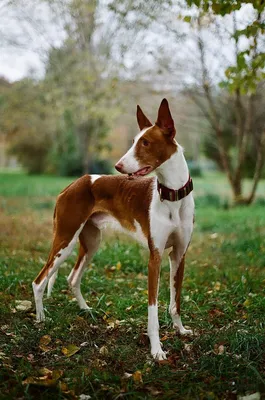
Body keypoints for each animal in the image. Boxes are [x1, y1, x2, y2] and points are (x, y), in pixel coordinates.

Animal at [33, 98, 194, 360]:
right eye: (134, 141)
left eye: (145, 142)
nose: (117, 166)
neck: (172, 195)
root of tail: (72, 184)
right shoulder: (155, 257)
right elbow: (153, 311)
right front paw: (156, 349)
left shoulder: (179, 255)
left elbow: (175, 301)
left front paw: (180, 330)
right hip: (65, 240)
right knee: (38, 282)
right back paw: (41, 318)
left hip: (91, 243)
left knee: (72, 277)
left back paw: (86, 309)